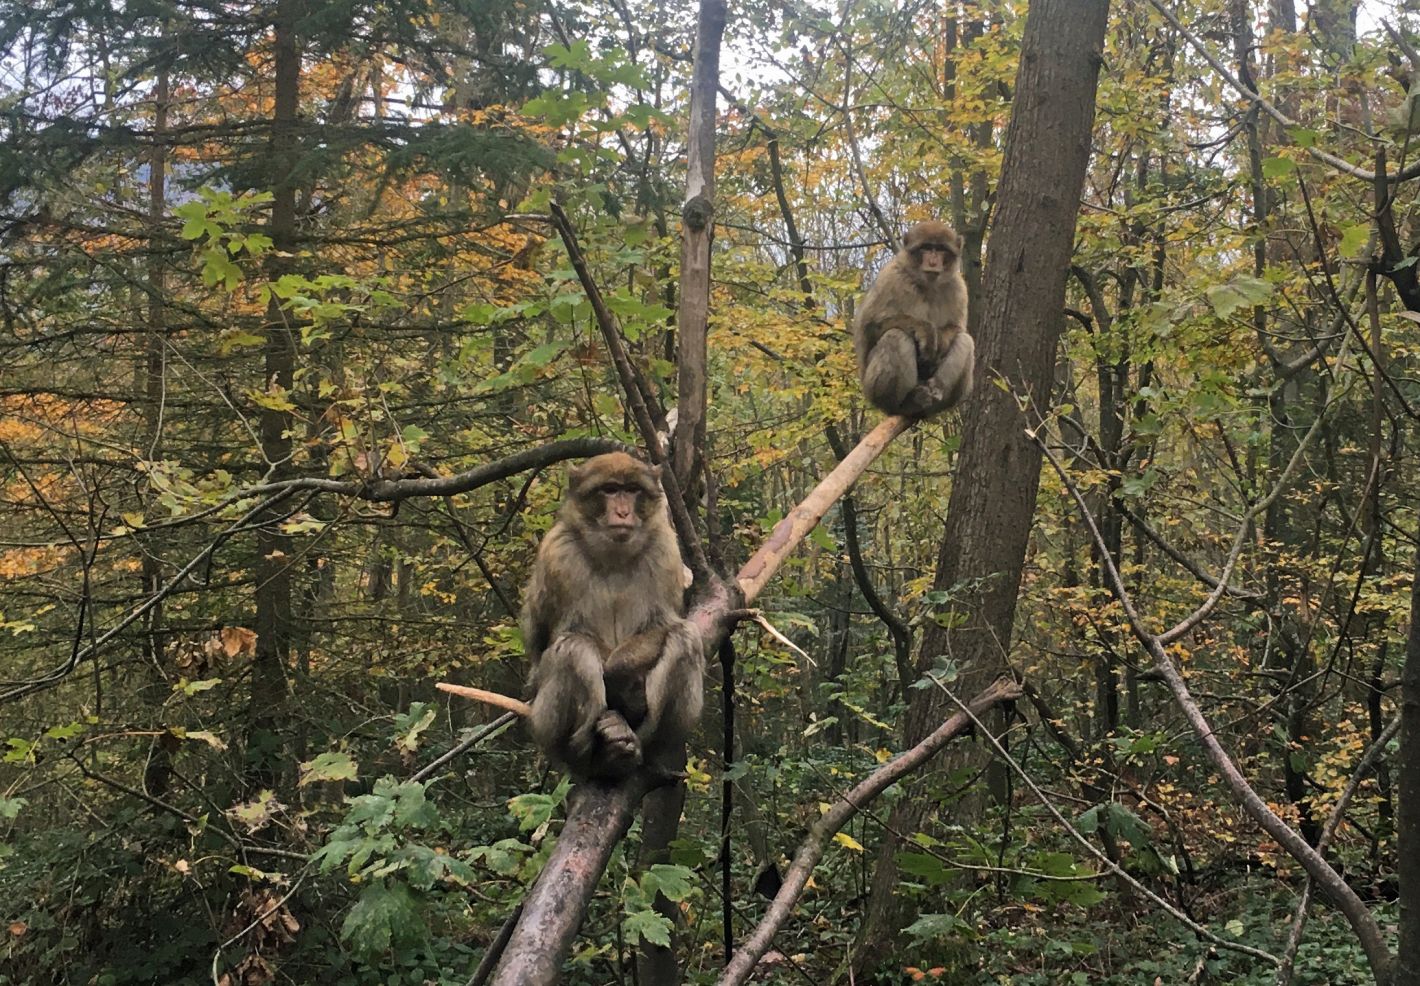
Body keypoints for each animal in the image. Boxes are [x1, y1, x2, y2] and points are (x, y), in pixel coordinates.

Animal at [852, 220, 976, 420]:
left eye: (941, 249)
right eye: (926, 247)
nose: (933, 261)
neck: (927, 285)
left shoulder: (958, 287)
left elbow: (957, 328)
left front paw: (941, 340)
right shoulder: (890, 278)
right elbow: (869, 327)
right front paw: (924, 330)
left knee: (965, 340)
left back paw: (937, 388)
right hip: (872, 390)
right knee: (895, 336)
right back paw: (905, 404)